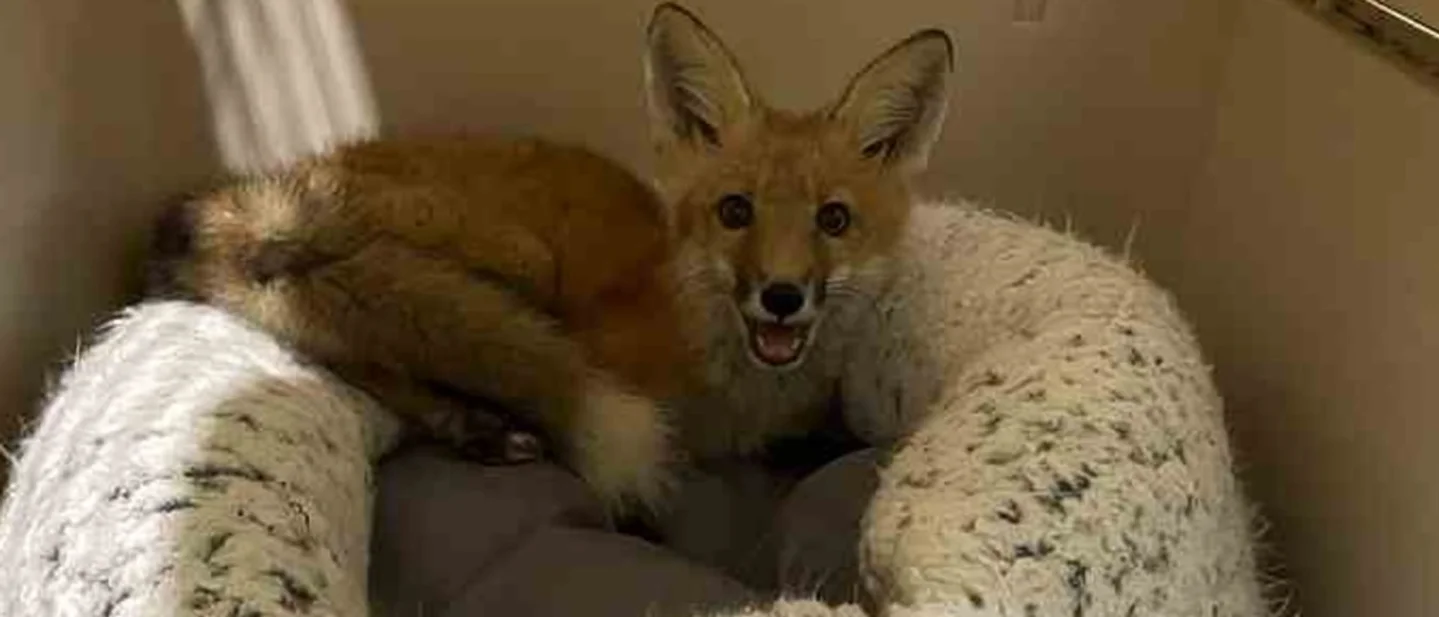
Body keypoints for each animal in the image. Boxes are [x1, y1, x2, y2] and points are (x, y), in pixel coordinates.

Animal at [145, 2, 953, 514]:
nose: (782, 296)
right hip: (517, 255)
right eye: (735, 212)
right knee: (344, 324)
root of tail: (234, 196)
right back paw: (473, 420)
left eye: (833, 220)